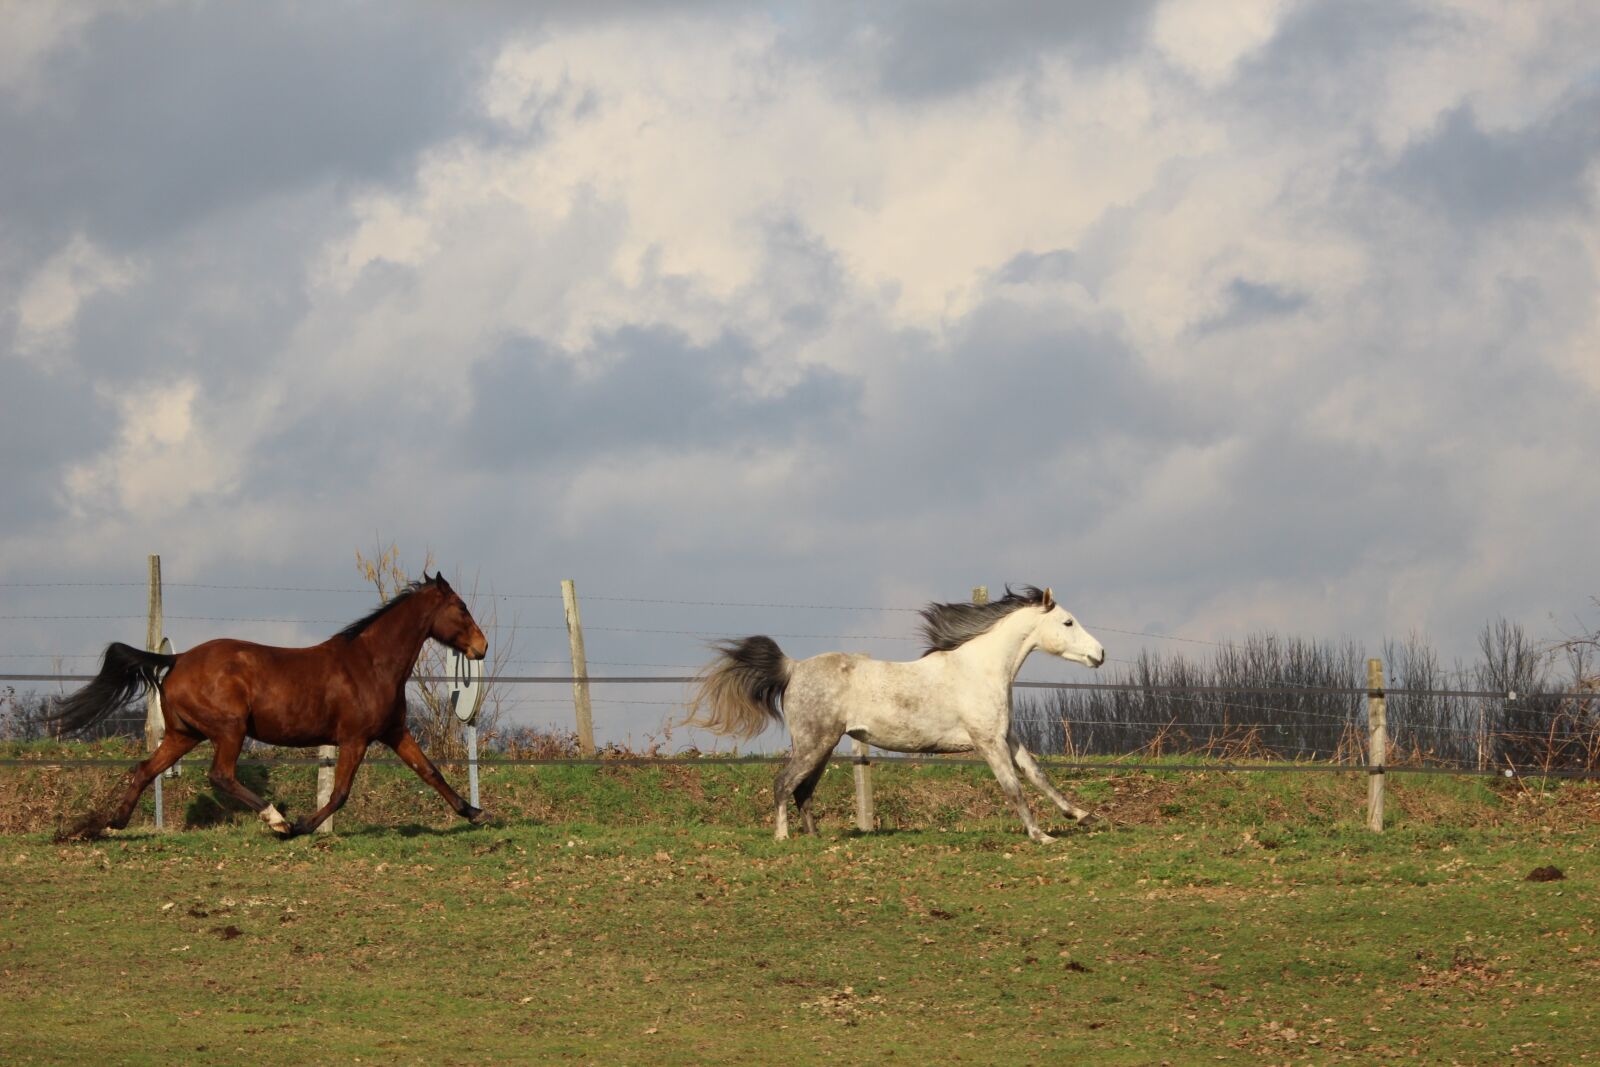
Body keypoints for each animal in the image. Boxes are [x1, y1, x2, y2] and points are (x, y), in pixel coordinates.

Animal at [50, 572, 492, 840]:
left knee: (145, 769)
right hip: (229, 729)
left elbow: (430, 771)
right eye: (461, 607)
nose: (482, 647)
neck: (371, 664)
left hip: (183, 735)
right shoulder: (355, 738)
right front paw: (301, 826)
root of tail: (176, 660)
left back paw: (111, 824)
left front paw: (475, 812)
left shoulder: (394, 732)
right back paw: (276, 820)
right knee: (221, 775)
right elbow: (340, 792)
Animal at [685, 585, 1106, 843]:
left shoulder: (1007, 737)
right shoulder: (988, 742)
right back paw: (782, 837)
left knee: (803, 790)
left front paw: (1081, 815)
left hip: (823, 746)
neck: (980, 669)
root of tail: (794, 667)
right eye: (1068, 622)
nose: (1099, 654)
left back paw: (816, 837)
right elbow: (1014, 788)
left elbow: (1039, 775)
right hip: (813, 743)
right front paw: (1041, 835)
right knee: (783, 784)